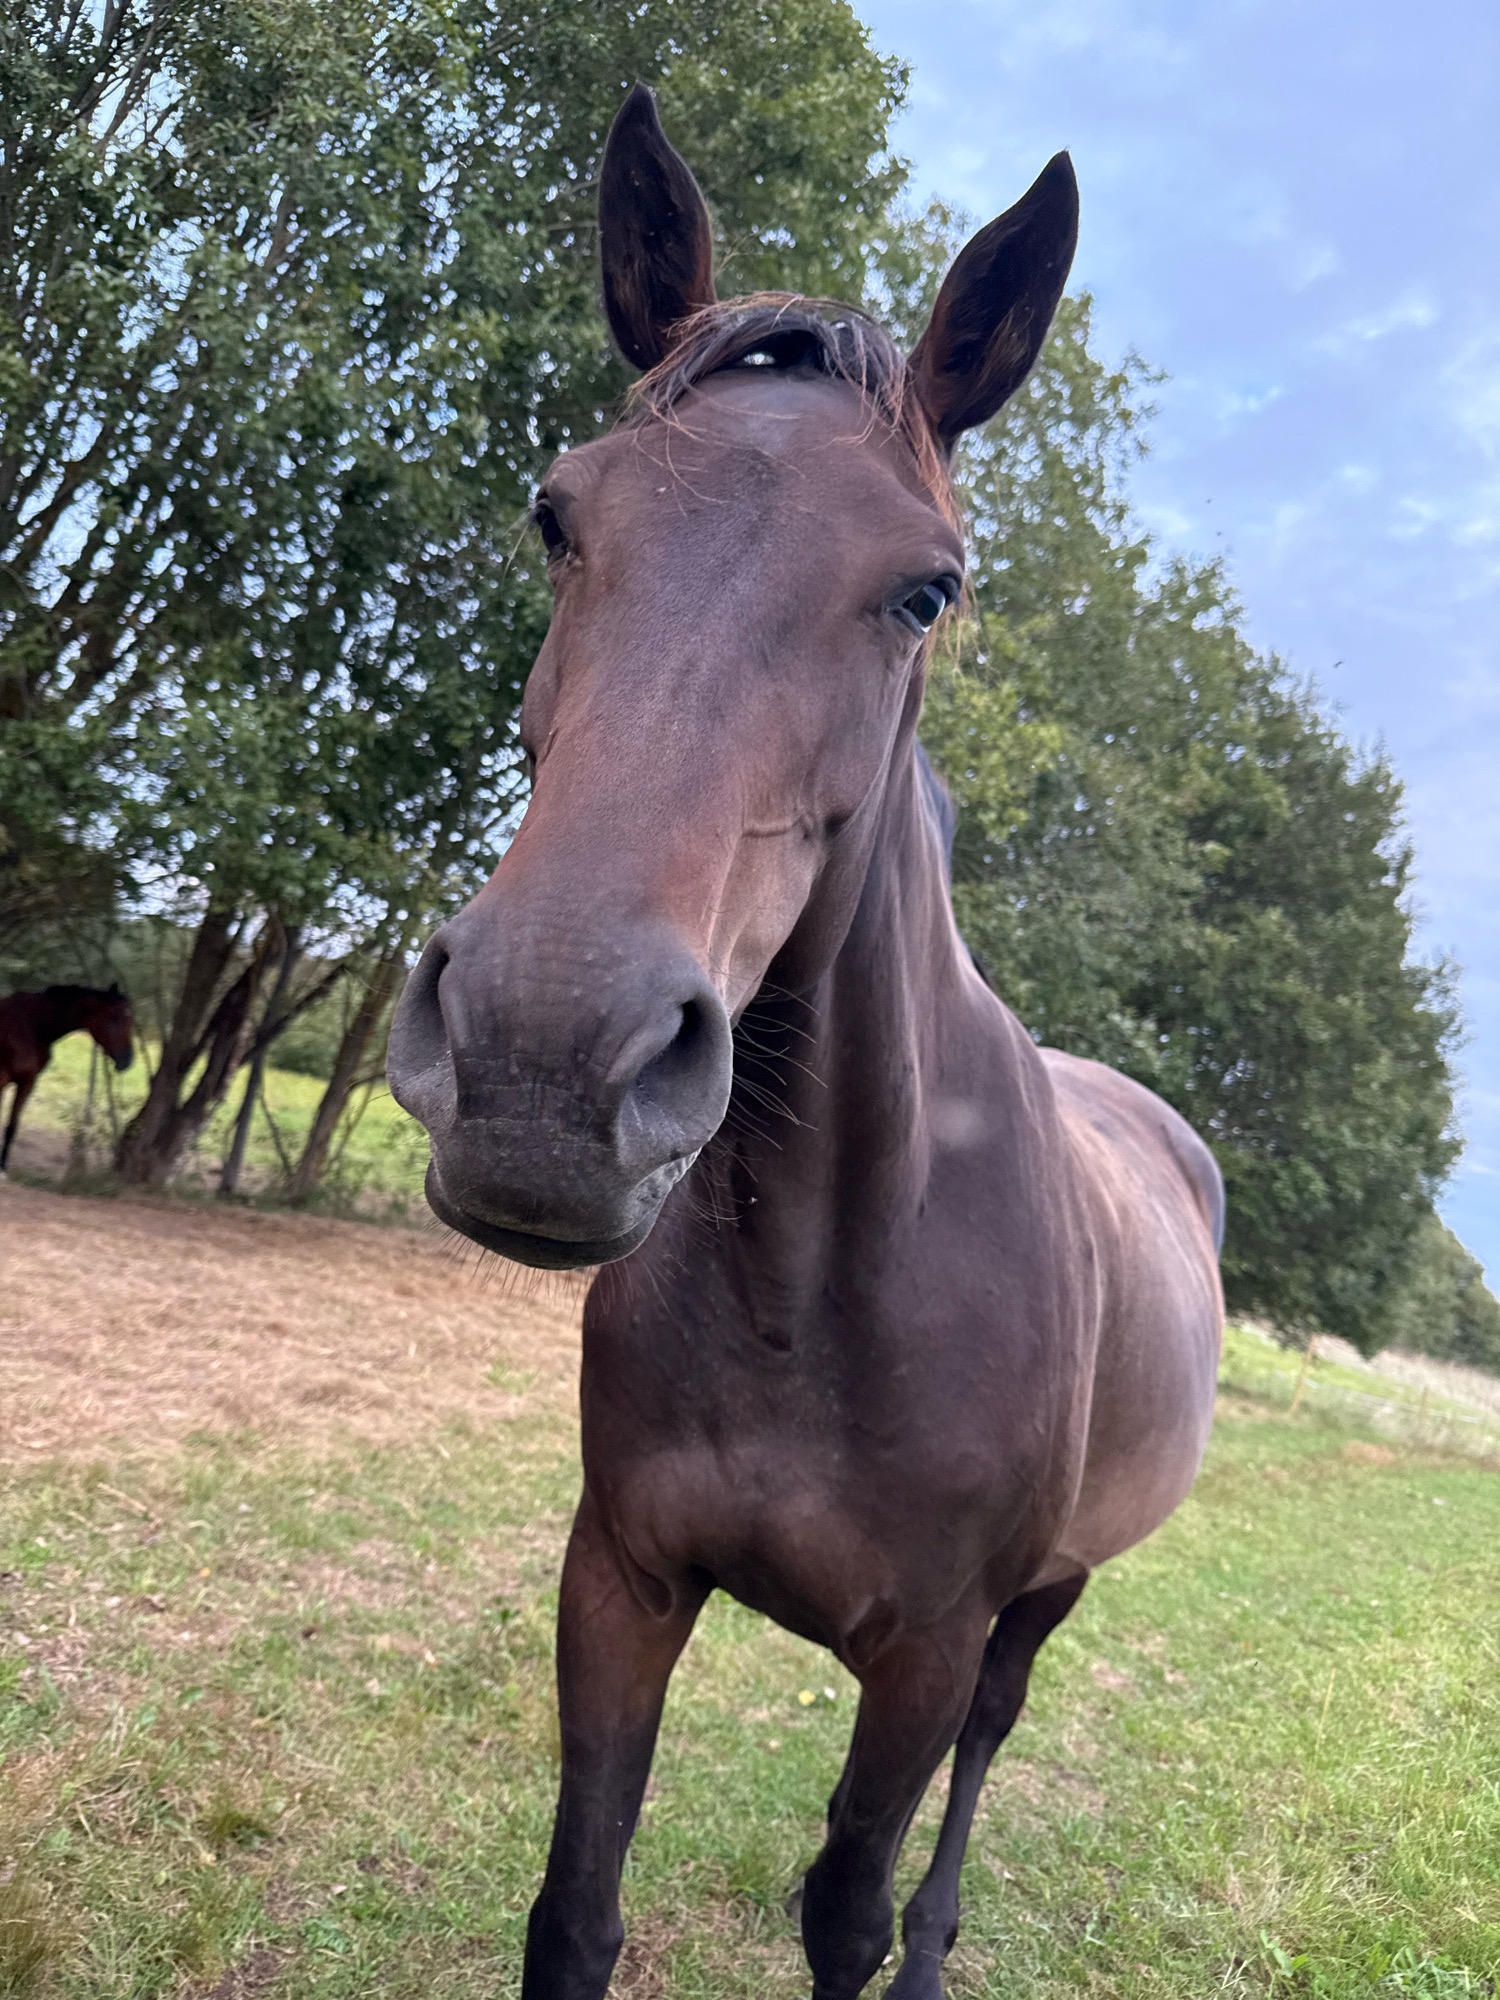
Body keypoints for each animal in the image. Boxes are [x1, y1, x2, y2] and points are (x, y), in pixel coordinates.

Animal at [0, 983, 134, 1176]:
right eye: (113, 1017)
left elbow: (12, 1126)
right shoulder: (2, 1078)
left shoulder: (27, 1082)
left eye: (130, 1019)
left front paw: (2, 1167)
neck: (31, 1026)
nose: (127, 1060)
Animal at [387, 86, 1224, 2000]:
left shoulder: (921, 1652)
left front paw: (884, 1940)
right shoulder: (621, 1578)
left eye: (928, 591)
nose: (544, 1060)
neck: (820, 1277)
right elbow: (575, 1910)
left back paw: (939, 1942)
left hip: (1046, 1600)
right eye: (557, 515)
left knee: (986, 1754)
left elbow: (841, 1907)